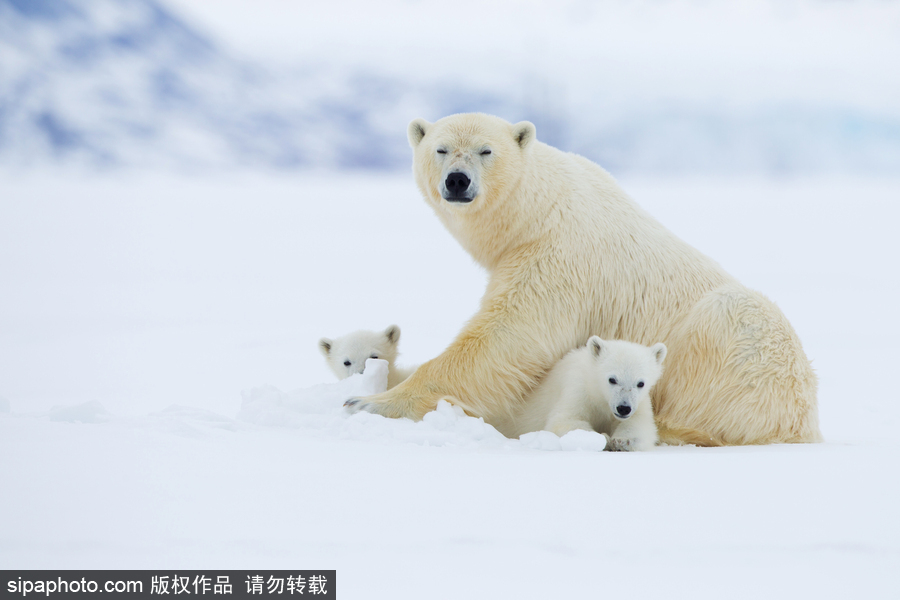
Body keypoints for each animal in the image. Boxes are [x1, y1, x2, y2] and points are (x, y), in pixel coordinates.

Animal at [344, 112, 824, 446]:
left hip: (748, 352)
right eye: (441, 149)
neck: (537, 212)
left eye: (485, 150)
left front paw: (368, 401)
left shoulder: (560, 258)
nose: (457, 181)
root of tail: (808, 422)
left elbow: (507, 337)